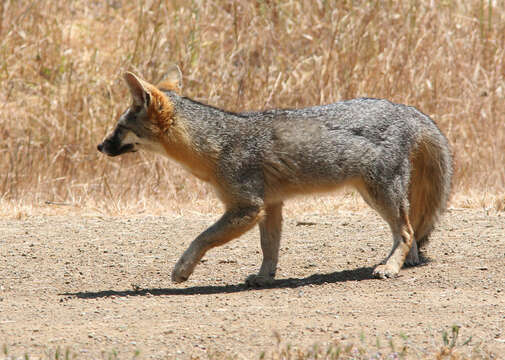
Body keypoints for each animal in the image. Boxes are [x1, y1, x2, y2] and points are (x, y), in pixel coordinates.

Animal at [96, 67, 450, 286]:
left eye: (119, 128)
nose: (100, 146)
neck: (215, 144)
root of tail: (406, 108)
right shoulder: (271, 205)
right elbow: (269, 248)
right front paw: (265, 277)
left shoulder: (247, 208)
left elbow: (203, 237)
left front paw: (182, 269)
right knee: (407, 230)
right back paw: (406, 261)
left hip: (378, 193)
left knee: (406, 231)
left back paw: (390, 267)